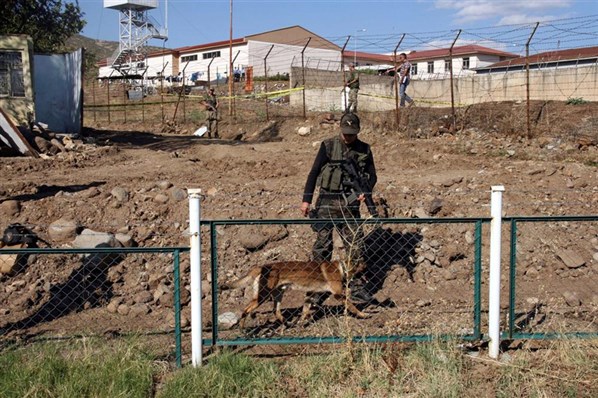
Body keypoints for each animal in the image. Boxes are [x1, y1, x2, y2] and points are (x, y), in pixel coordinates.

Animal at [221, 260, 370, 328]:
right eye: (363, 262)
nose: (368, 266)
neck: (342, 267)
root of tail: (261, 267)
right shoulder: (338, 295)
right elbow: (352, 305)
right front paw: (362, 314)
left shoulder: (309, 295)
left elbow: (304, 311)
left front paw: (301, 322)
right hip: (263, 296)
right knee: (245, 310)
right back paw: (242, 328)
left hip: (278, 294)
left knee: (276, 311)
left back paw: (287, 323)